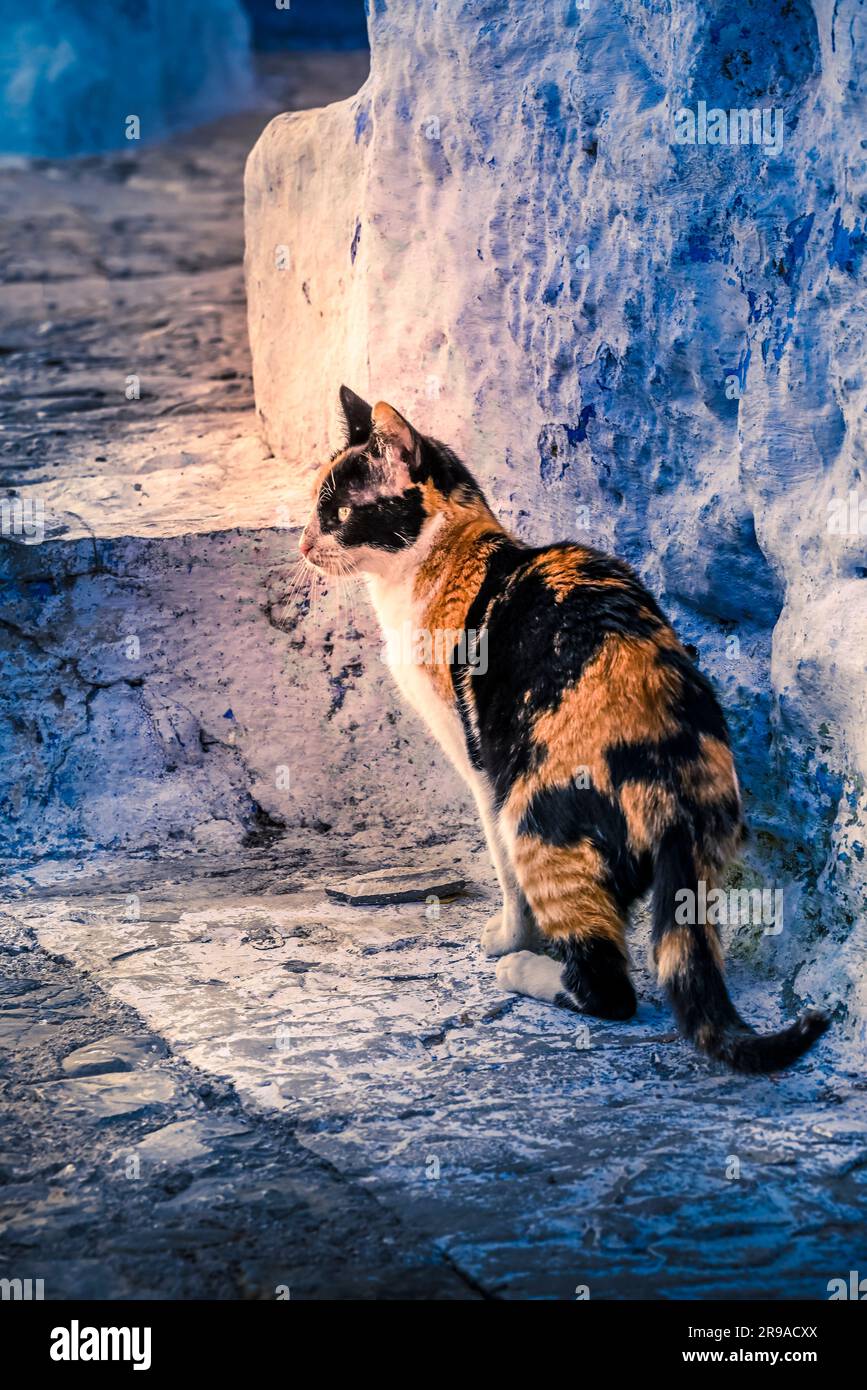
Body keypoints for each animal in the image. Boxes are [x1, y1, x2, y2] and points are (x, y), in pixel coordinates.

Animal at [301, 386, 828, 1067]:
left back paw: (524, 970)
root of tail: (669, 783)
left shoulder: (478, 759)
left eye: (338, 511)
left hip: (534, 814)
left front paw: (508, 936)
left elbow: (501, 868)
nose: (303, 545)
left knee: (608, 987)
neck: (449, 557)